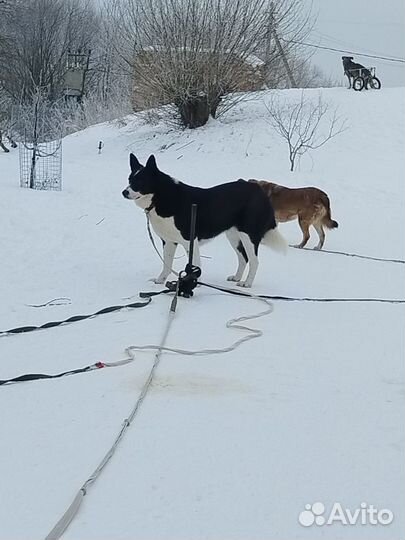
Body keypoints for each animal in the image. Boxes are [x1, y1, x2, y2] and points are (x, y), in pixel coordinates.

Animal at [121, 153, 286, 286]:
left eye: (140, 181)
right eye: (129, 179)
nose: (124, 192)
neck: (160, 196)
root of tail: (260, 192)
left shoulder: (189, 240)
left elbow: (194, 265)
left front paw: (193, 284)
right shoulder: (168, 241)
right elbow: (167, 263)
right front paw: (161, 280)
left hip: (248, 235)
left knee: (254, 261)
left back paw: (247, 283)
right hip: (234, 235)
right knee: (243, 258)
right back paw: (237, 277)